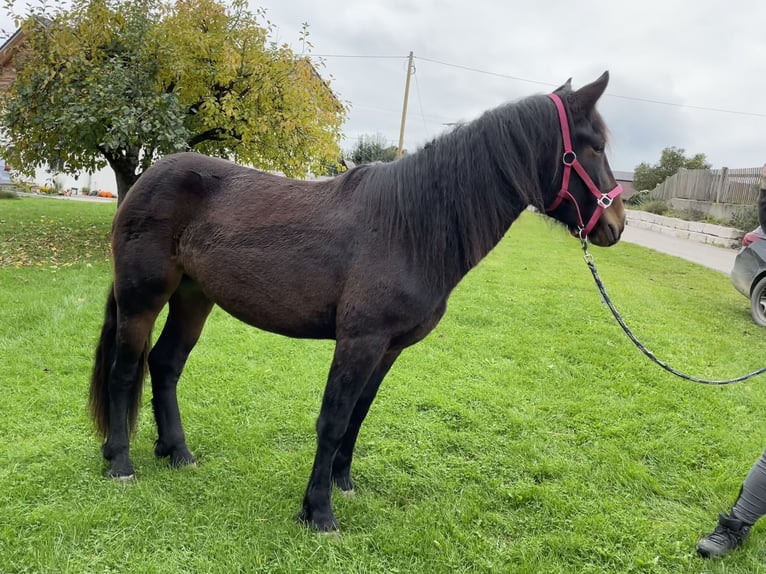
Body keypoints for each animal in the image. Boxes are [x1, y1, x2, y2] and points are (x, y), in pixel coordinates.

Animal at [89, 71, 625, 532]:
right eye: (595, 147)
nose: (616, 224)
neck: (409, 226)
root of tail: (147, 178)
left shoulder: (388, 348)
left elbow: (359, 414)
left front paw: (342, 483)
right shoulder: (359, 340)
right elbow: (332, 418)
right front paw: (318, 512)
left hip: (193, 297)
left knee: (165, 364)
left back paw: (177, 452)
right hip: (142, 298)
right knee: (125, 370)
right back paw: (120, 462)